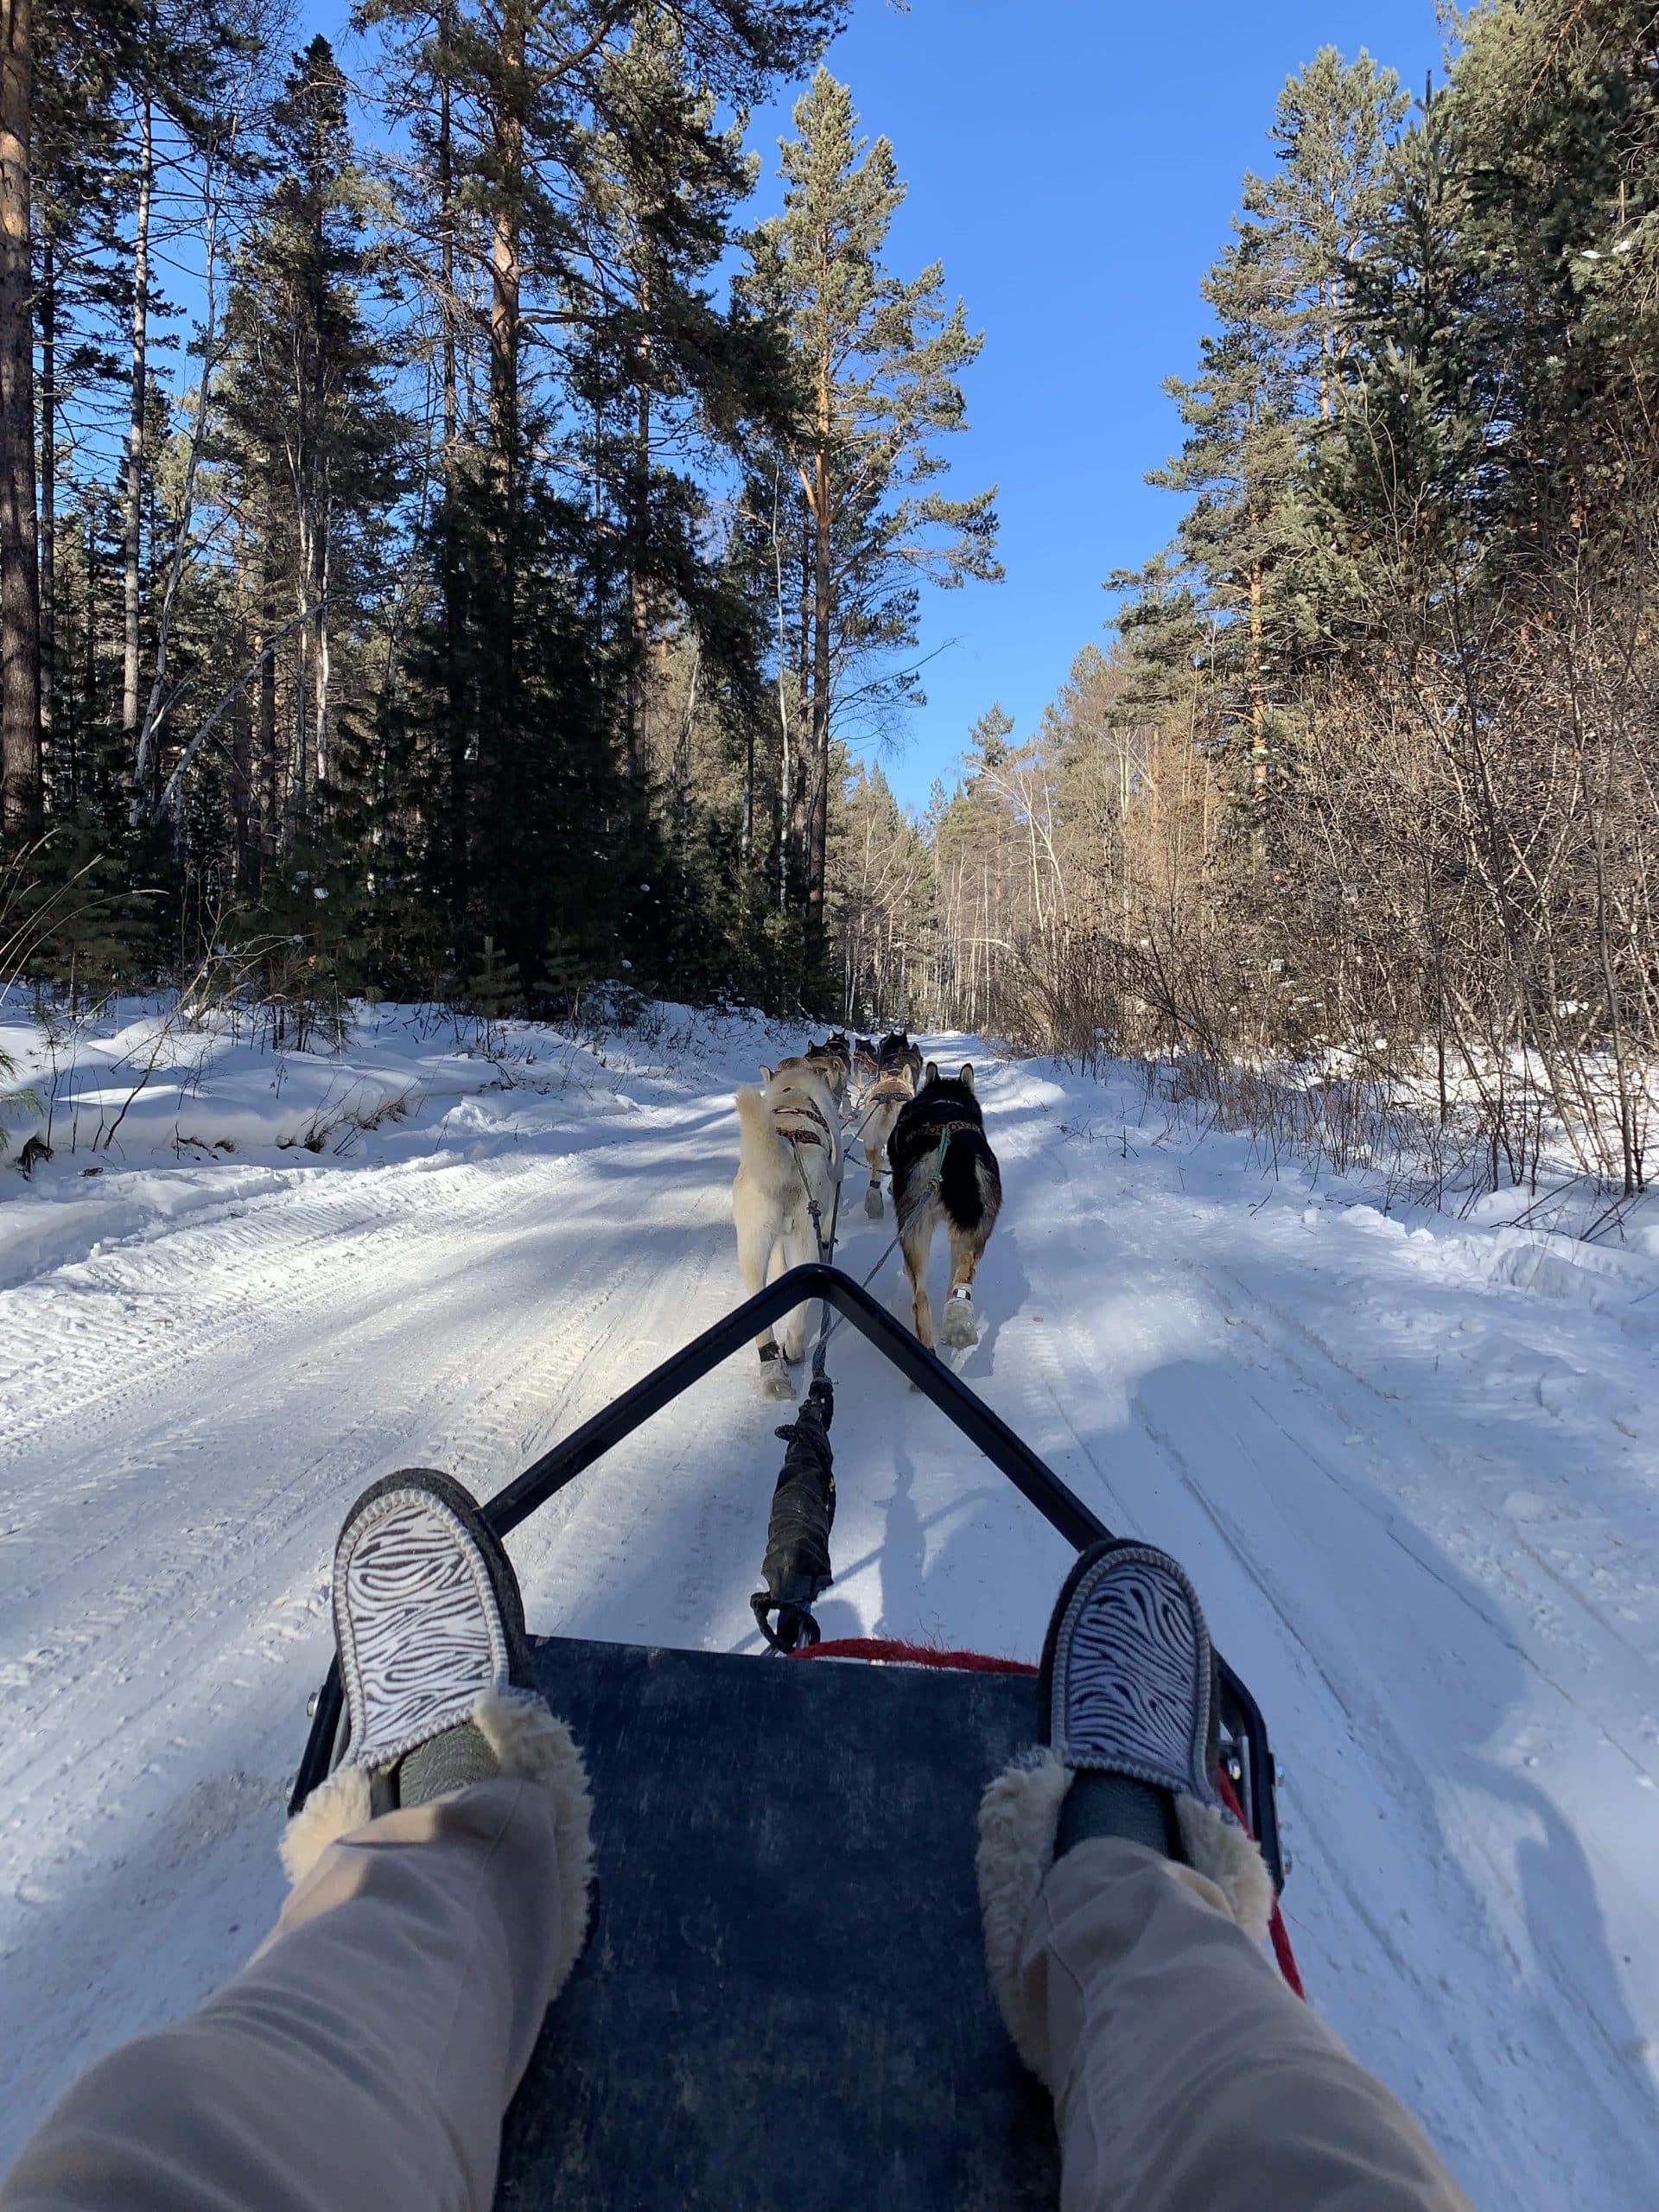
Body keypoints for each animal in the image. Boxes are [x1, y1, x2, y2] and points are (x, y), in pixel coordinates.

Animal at [739, 1061, 844, 1389]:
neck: (793, 1090)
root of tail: (786, 1154)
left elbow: (778, 1269)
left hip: (752, 1244)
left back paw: (771, 1362)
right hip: (805, 1235)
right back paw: (795, 1348)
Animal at [898, 1057, 1000, 1344]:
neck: (946, 1100)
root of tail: (957, 1153)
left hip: (914, 1228)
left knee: (920, 1295)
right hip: (976, 1231)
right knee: (962, 1275)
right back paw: (957, 1323)